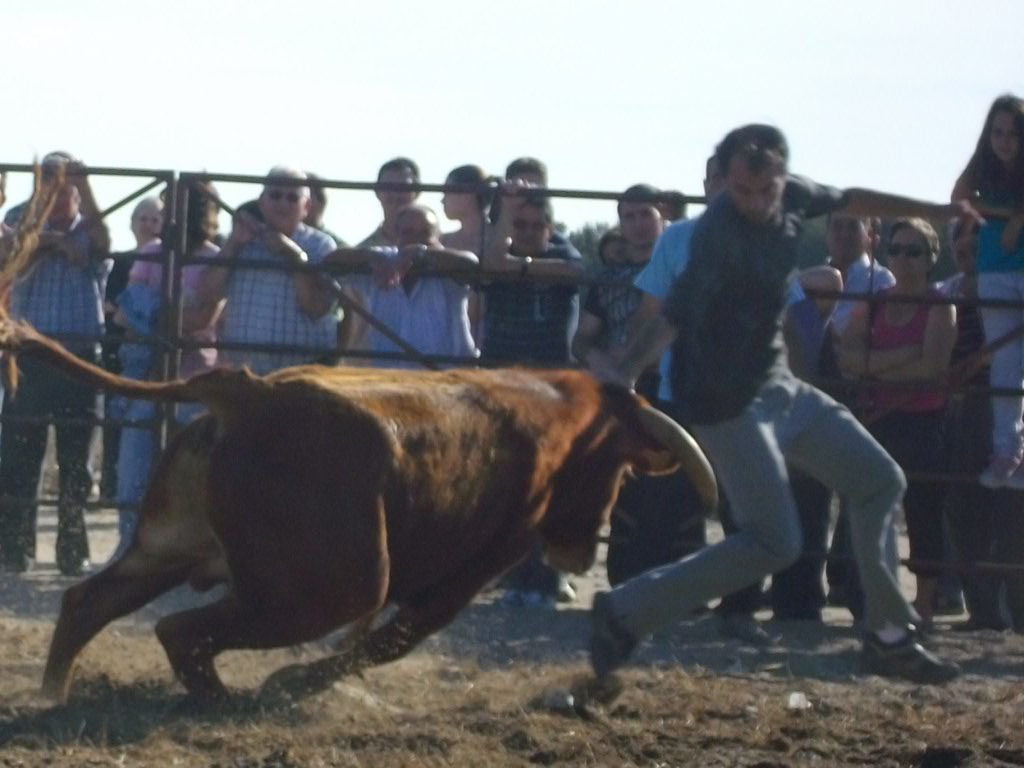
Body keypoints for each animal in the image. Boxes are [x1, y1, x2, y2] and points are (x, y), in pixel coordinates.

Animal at [0, 321, 717, 705]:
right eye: (619, 467)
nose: (581, 550)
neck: (546, 412)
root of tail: (247, 395)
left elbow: (372, 642)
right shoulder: (470, 571)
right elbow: (392, 640)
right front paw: (292, 681)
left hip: (165, 550)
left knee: (89, 604)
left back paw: (54, 694)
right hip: (327, 589)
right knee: (179, 630)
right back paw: (226, 701)